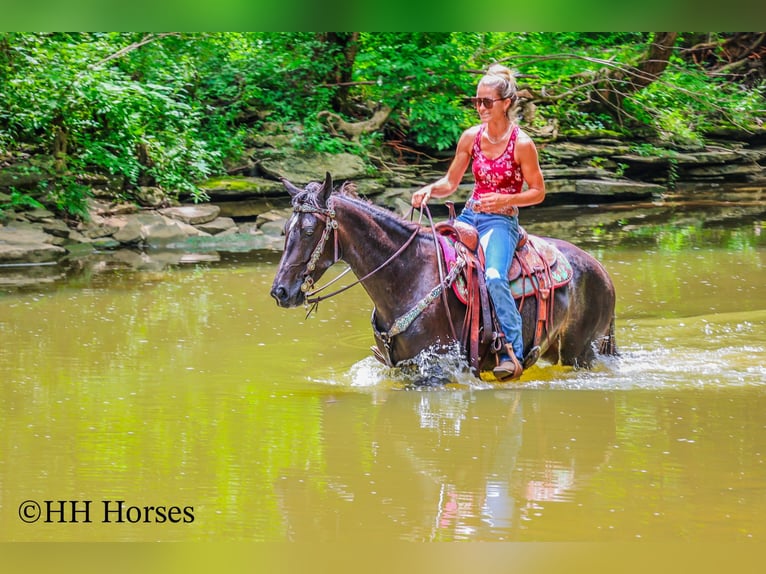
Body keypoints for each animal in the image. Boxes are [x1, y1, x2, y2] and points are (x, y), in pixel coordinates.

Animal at [270, 172, 617, 383]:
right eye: (285, 230)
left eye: (310, 231)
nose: (281, 292)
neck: (408, 274)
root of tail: (601, 271)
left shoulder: (435, 371)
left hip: (581, 353)